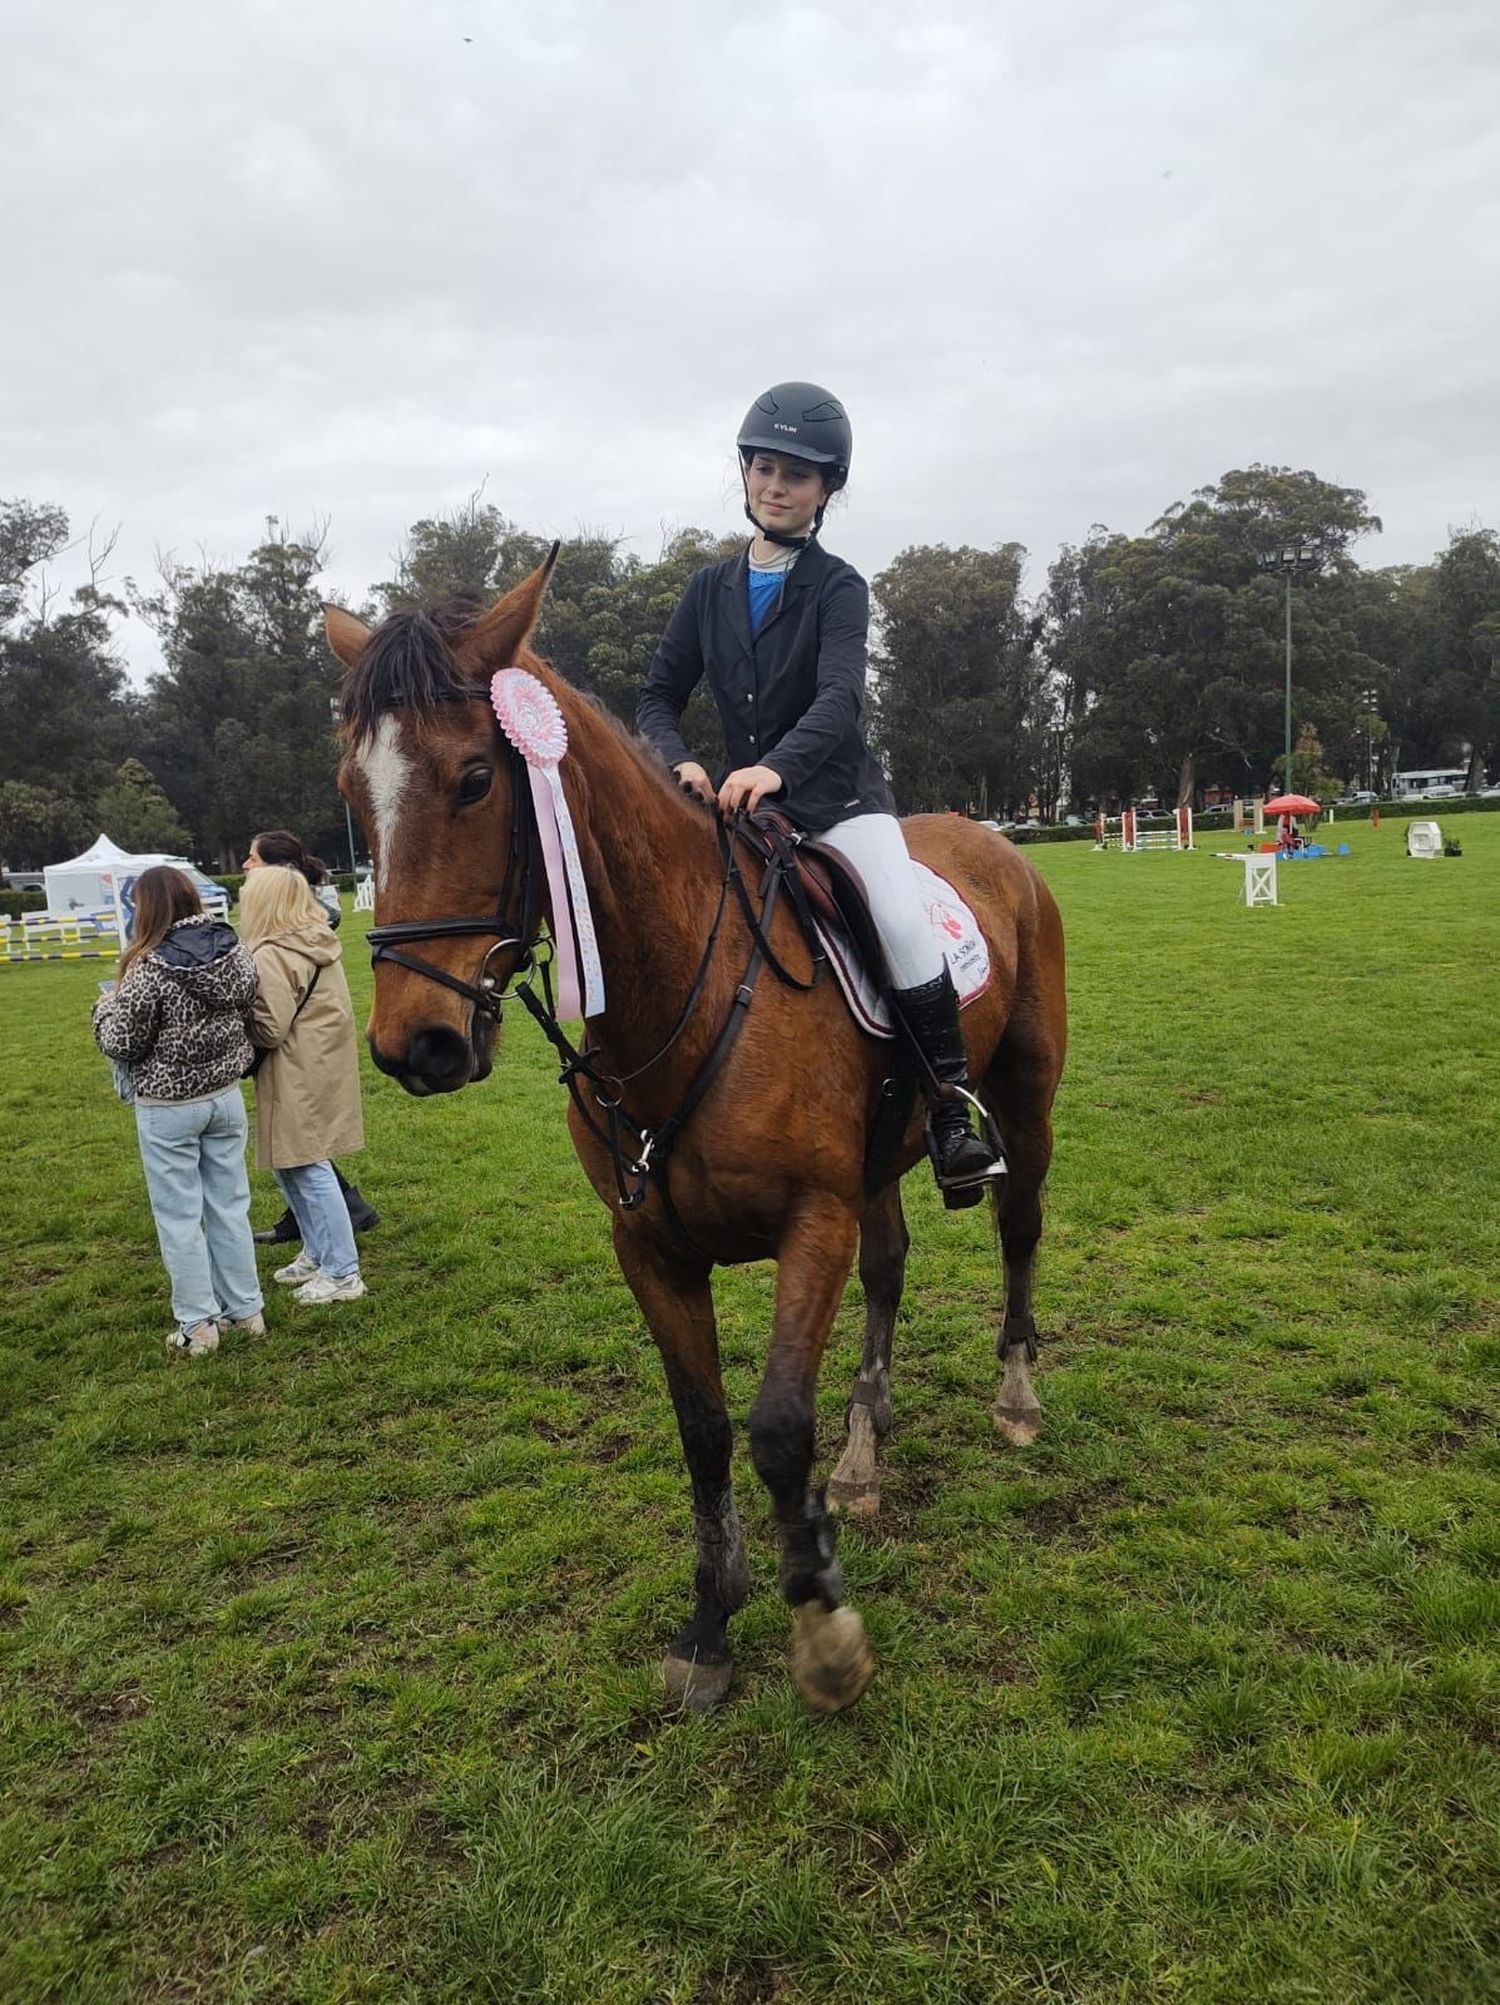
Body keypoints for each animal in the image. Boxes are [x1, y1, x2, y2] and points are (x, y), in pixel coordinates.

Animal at [324, 557, 1066, 1716]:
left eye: (476, 780)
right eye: (354, 795)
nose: (417, 1045)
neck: (682, 989)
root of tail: (994, 838)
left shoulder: (811, 1221)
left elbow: (775, 1425)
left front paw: (823, 1629)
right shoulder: (652, 1247)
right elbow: (706, 1429)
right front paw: (713, 1624)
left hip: (1023, 1103)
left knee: (1019, 1228)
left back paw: (1016, 1395)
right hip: (876, 1164)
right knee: (890, 1270)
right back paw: (862, 1453)